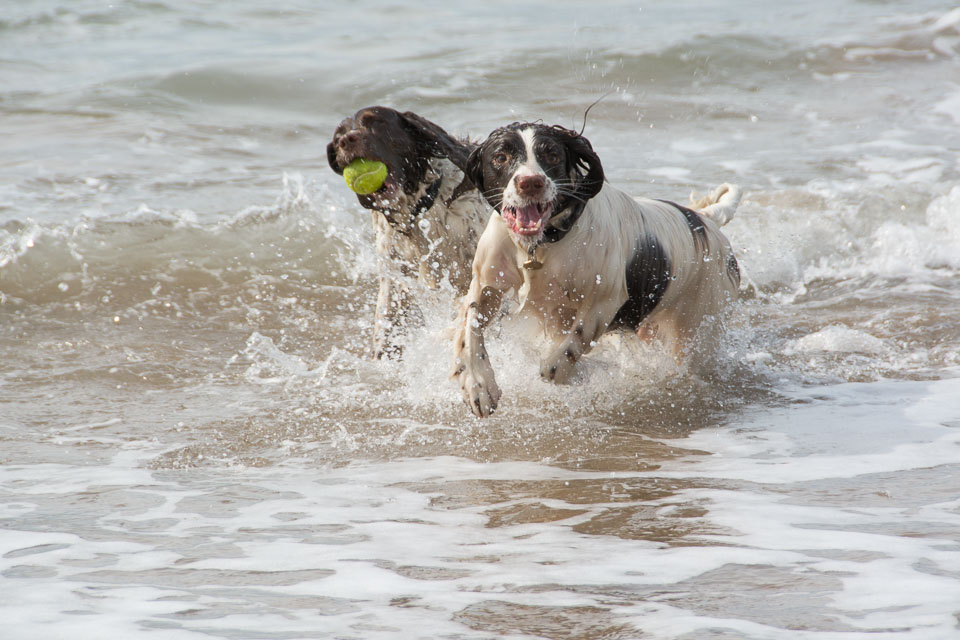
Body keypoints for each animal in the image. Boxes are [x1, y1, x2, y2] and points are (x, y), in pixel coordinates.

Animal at [450, 122, 744, 418]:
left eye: (552, 155)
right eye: (501, 157)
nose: (530, 182)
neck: (540, 247)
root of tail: (705, 220)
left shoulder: (605, 297)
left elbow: (576, 341)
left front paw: (558, 370)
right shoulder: (486, 283)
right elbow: (470, 329)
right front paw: (479, 387)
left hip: (697, 327)